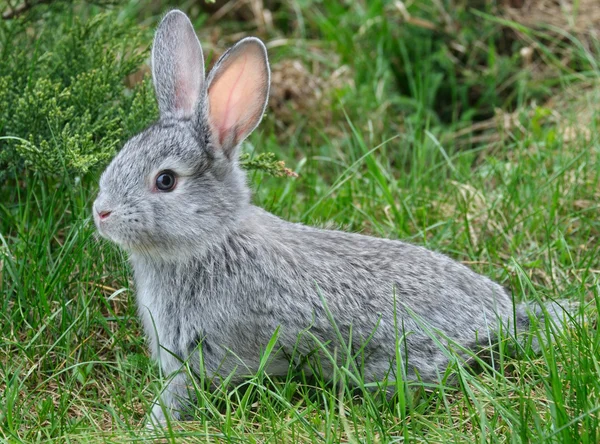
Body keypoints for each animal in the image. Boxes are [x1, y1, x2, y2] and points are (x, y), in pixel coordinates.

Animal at [94, 10, 576, 424]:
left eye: (166, 181)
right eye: (121, 155)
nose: (101, 213)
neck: (211, 240)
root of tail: (504, 318)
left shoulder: (207, 354)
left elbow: (182, 392)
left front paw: (154, 424)